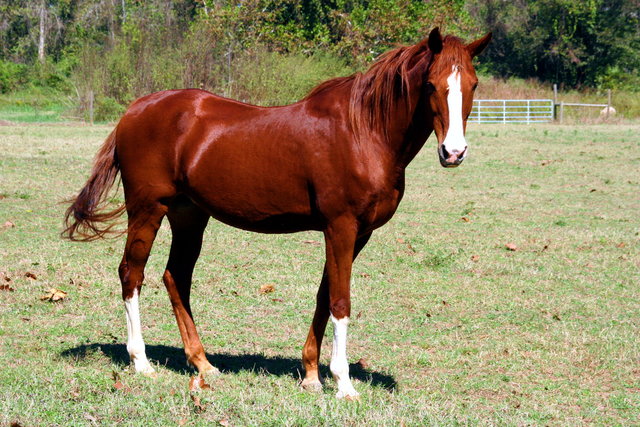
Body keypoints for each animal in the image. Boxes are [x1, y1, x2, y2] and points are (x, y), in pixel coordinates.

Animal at [63, 28, 490, 399]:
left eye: (473, 85)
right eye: (431, 84)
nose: (453, 152)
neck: (363, 131)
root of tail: (135, 110)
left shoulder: (356, 233)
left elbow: (324, 296)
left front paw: (312, 376)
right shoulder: (341, 227)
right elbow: (340, 302)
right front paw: (343, 384)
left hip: (189, 215)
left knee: (176, 278)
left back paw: (203, 363)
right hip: (147, 210)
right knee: (131, 274)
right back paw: (142, 362)